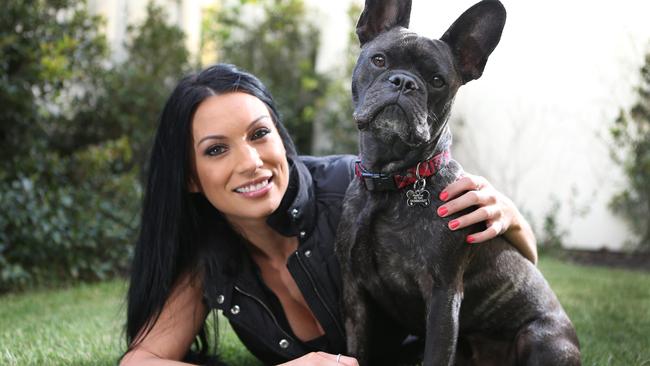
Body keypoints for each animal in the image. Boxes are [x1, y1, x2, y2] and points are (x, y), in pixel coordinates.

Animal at [334, 1, 576, 364]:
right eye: (379, 60)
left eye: (437, 81)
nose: (404, 81)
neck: (392, 184)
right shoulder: (355, 294)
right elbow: (355, 349)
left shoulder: (443, 296)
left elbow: (435, 355)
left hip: (541, 338)